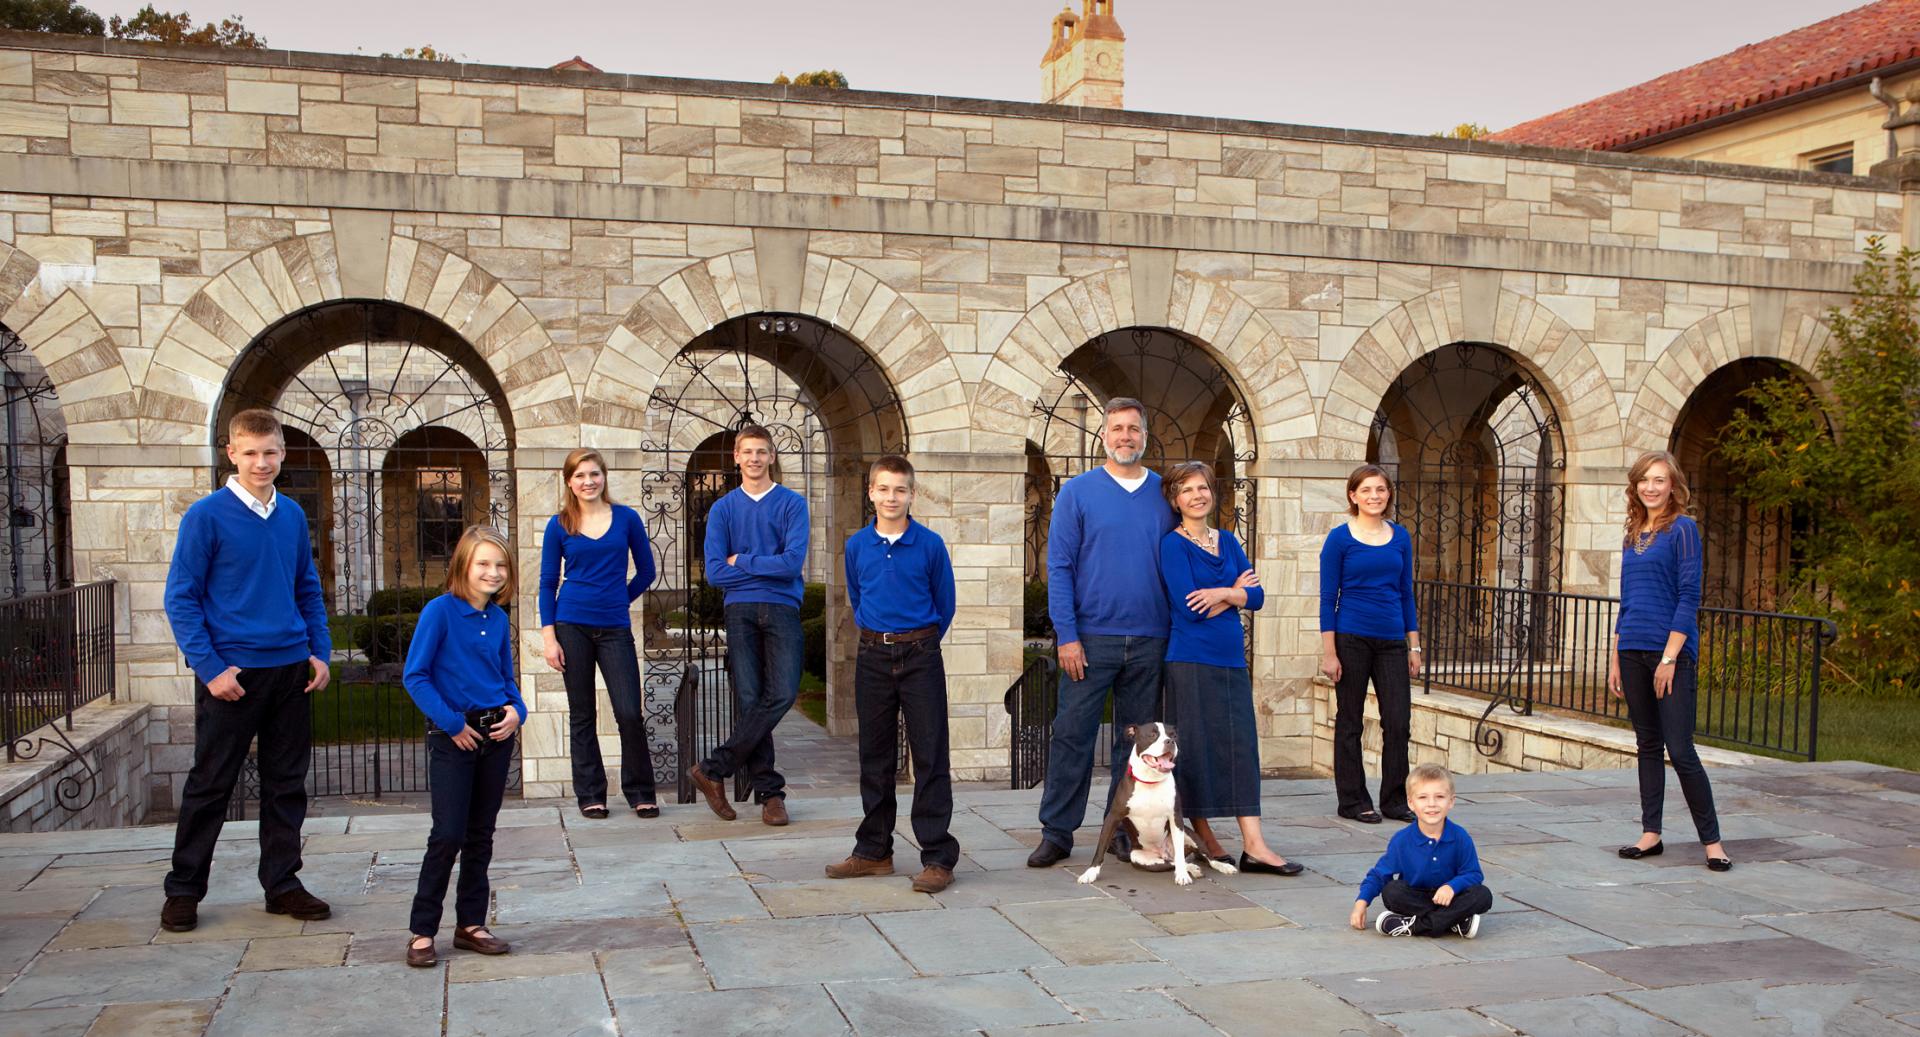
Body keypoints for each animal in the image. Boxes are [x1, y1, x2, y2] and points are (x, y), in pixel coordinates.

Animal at [1075, 725, 1236, 887]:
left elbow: (1180, 854)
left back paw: (1223, 866)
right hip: (1140, 858)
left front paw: (1182, 876)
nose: (1170, 741)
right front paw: (1090, 873)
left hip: (1191, 836)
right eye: (1152, 735)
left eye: (1174, 735)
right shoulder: (1113, 816)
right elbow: (1101, 847)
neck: (1150, 780)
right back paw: (1193, 868)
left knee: (1203, 858)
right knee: (1171, 863)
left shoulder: (1176, 818)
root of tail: (1163, 853)